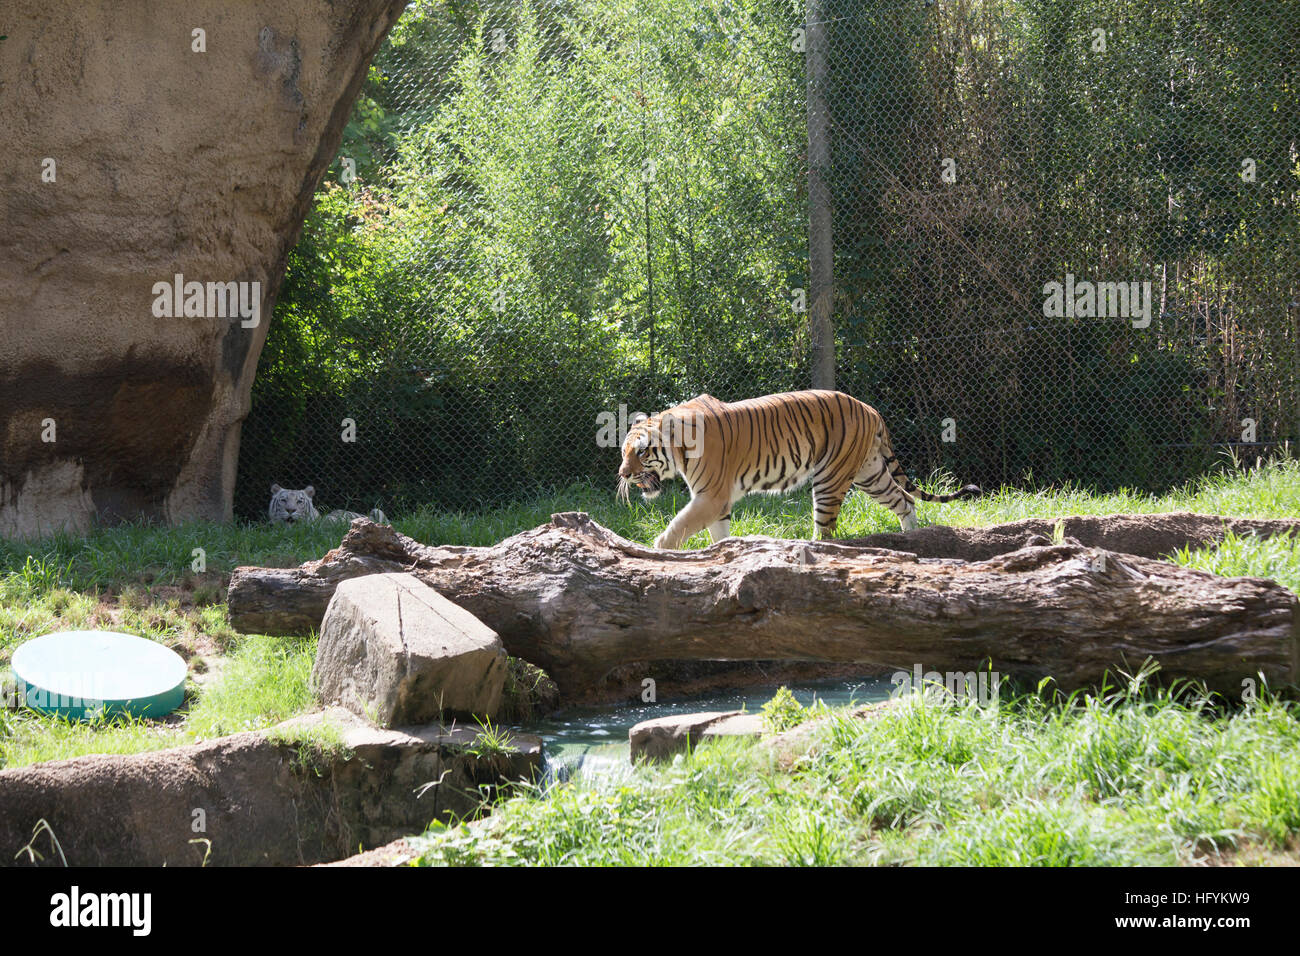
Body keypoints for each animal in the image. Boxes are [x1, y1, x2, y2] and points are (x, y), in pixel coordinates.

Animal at [616, 390, 977, 548]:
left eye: (641, 451)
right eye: (623, 451)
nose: (623, 474)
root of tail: (870, 409)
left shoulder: (711, 497)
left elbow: (678, 526)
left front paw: (659, 550)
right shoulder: (716, 503)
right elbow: (717, 535)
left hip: (831, 478)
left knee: (826, 530)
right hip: (870, 473)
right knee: (906, 500)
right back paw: (913, 539)